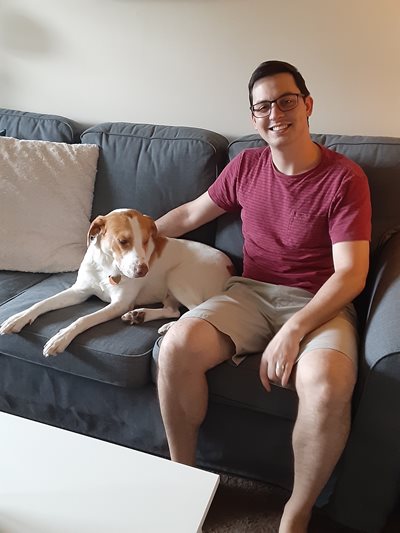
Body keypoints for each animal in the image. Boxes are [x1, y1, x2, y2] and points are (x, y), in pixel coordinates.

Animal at [0, 210, 234, 356]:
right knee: (173, 310)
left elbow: (83, 319)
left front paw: (61, 337)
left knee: (195, 310)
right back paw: (140, 315)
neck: (107, 266)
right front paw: (19, 317)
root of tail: (229, 267)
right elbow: (42, 303)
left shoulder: (118, 304)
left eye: (146, 241)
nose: (143, 270)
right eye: (123, 241)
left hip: (178, 277)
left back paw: (167, 327)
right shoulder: (78, 291)